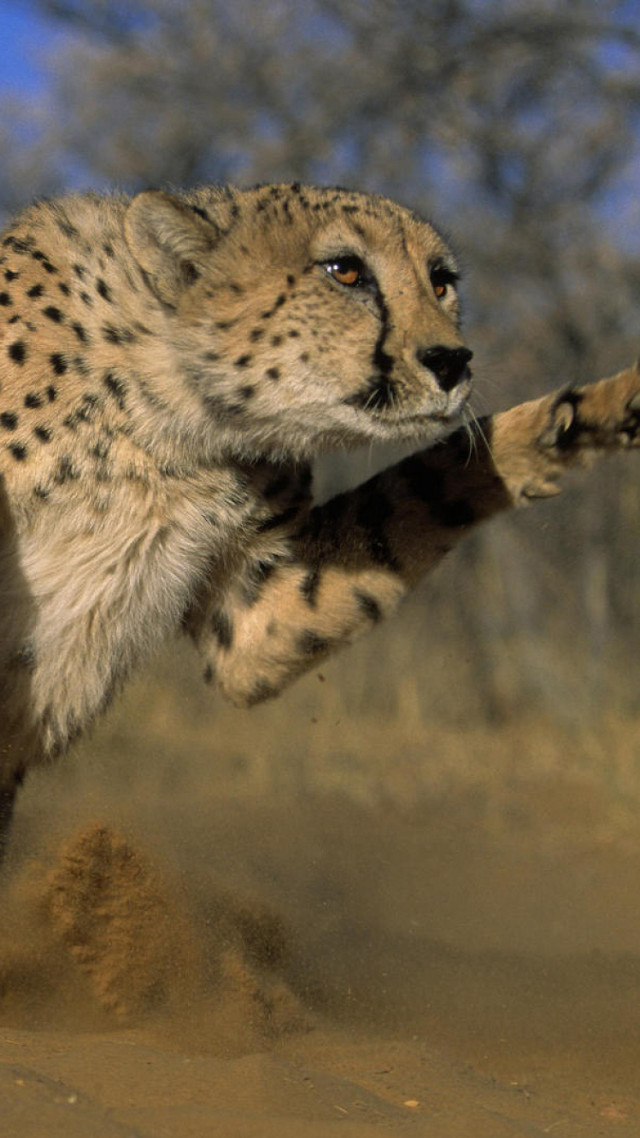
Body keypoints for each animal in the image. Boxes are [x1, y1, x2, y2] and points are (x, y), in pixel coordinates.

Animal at [0, 179, 639, 855]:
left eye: (440, 281)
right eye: (346, 271)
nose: (452, 361)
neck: (170, 410)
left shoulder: (252, 621)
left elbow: (420, 490)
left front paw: (591, 414)